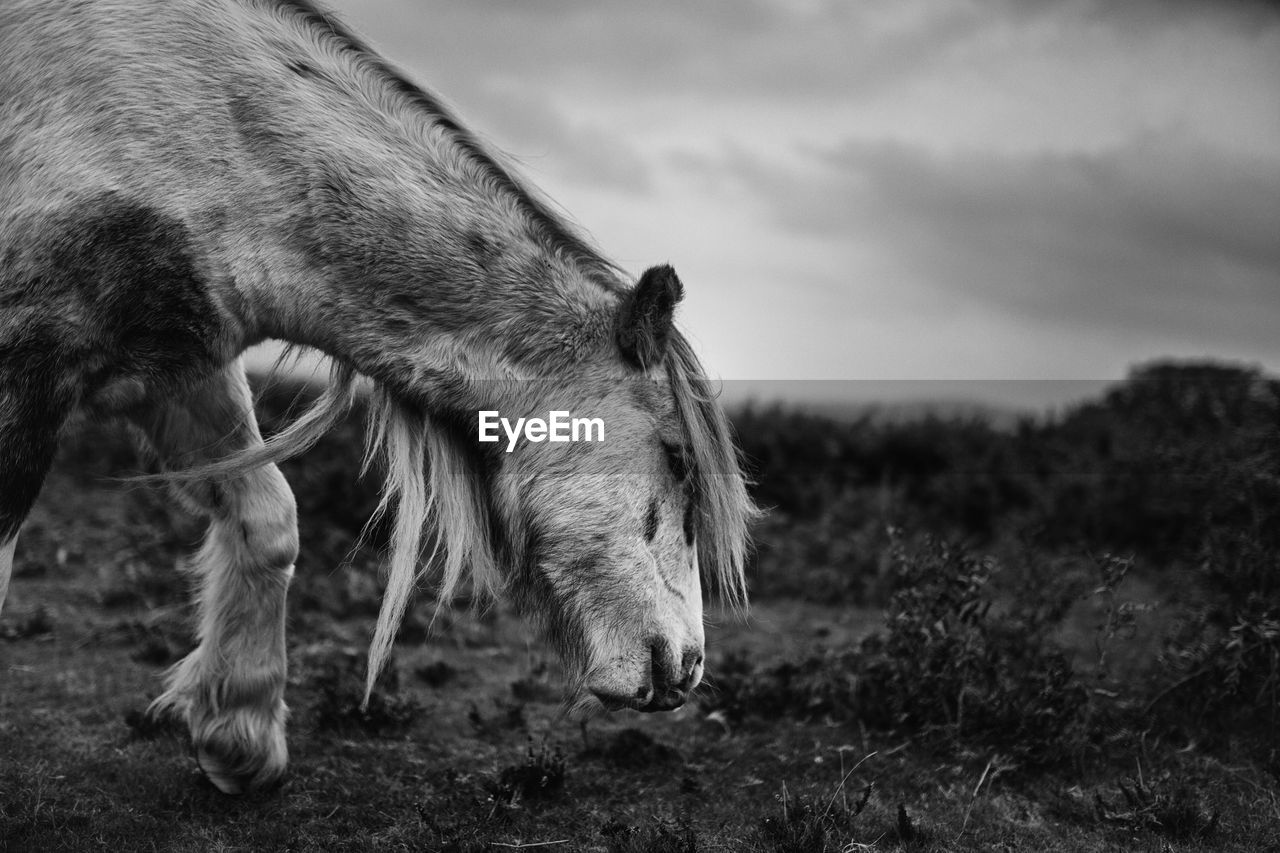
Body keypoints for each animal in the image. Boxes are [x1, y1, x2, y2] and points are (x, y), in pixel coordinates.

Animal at [0, 0, 752, 788]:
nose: (684, 669)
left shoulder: (180, 368)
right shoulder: (28, 372)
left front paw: (239, 735)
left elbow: (269, 519)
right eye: (677, 457)